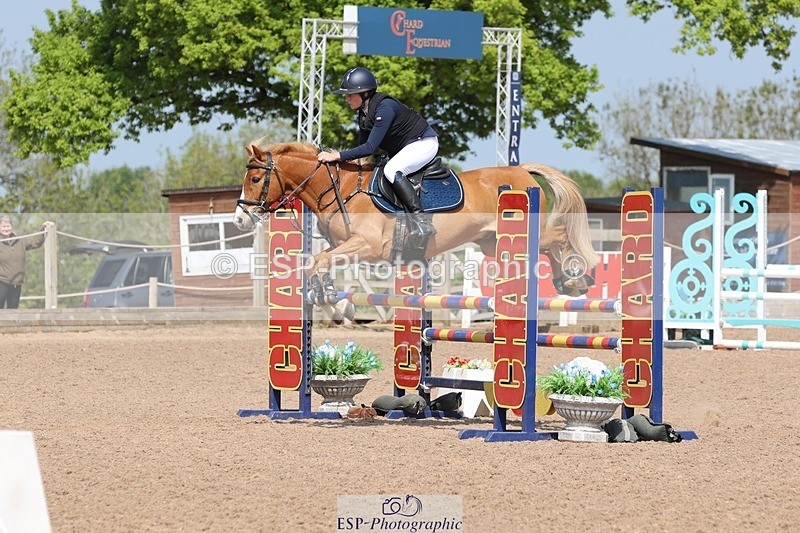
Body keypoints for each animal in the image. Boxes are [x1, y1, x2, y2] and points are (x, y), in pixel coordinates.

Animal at [233, 141, 599, 321]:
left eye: (255, 178)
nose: (240, 219)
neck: (342, 188)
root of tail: (521, 170)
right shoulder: (345, 247)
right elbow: (316, 263)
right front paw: (335, 306)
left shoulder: (368, 247)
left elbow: (319, 261)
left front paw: (334, 305)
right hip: (491, 242)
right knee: (545, 245)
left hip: (525, 231)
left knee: (559, 237)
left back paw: (575, 281)